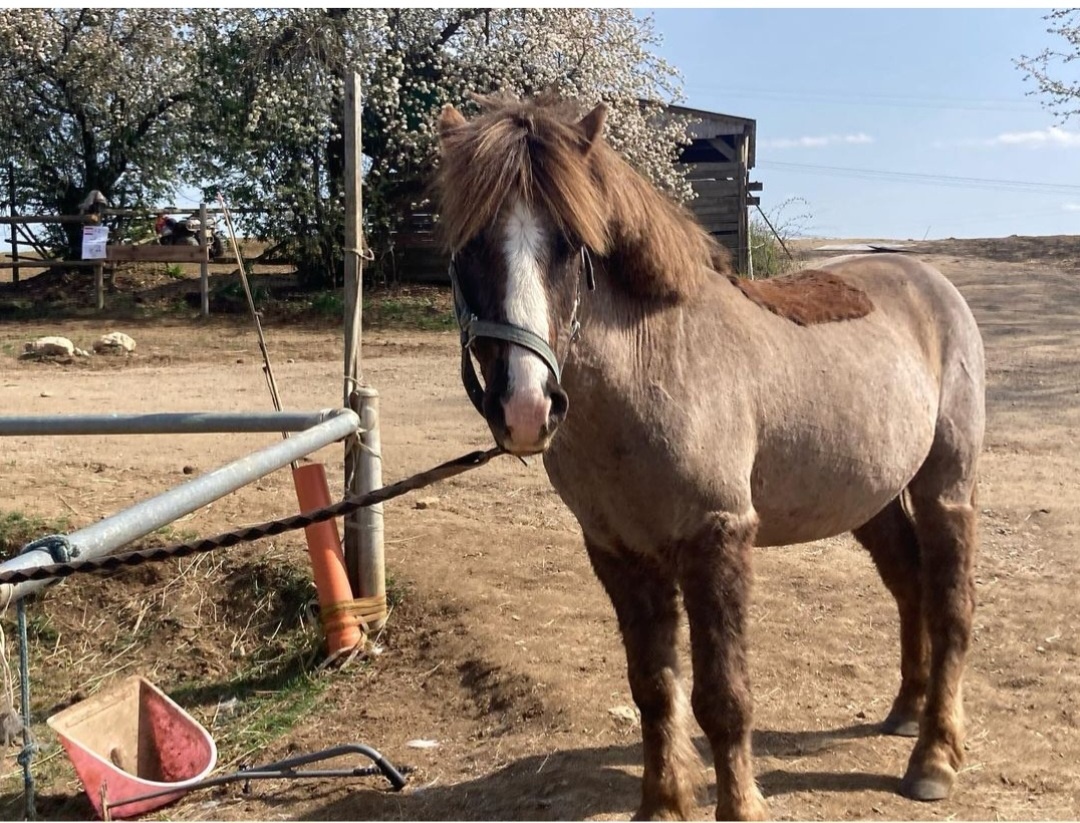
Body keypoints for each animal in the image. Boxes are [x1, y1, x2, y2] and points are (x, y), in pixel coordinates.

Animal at [434, 93, 984, 821]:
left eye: (571, 245)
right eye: (468, 246)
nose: (526, 407)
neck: (654, 365)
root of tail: (929, 282)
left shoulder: (716, 539)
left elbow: (723, 696)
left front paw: (740, 804)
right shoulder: (618, 552)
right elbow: (652, 686)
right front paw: (663, 803)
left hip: (946, 486)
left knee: (951, 604)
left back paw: (933, 758)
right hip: (872, 499)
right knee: (910, 584)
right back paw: (905, 711)